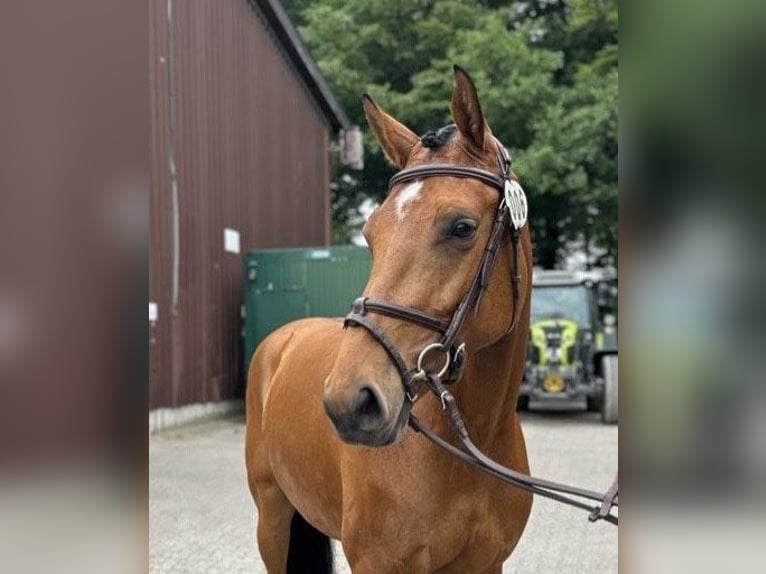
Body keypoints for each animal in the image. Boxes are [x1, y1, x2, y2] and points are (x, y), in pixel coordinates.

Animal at [246, 66, 536, 572]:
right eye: (370, 232)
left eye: (462, 227)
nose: (350, 402)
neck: (469, 446)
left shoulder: (485, 564)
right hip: (272, 519)